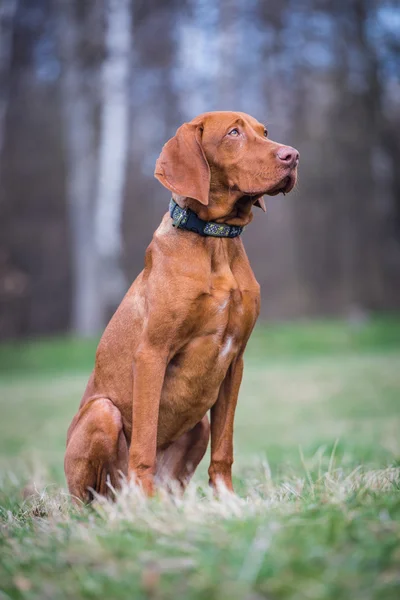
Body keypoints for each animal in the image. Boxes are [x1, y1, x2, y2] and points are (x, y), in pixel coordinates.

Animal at [64, 109, 298, 502]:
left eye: (265, 132)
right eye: (233, 133)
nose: (293, 156)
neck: (215, 240)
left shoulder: (235, 360)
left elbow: (224, 446)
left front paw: (227, 501)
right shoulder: (152, 354)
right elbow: (143, 443)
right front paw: (146, 506)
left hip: (198, 426)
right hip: (102, 413)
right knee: (95, 498)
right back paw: (131, 504)